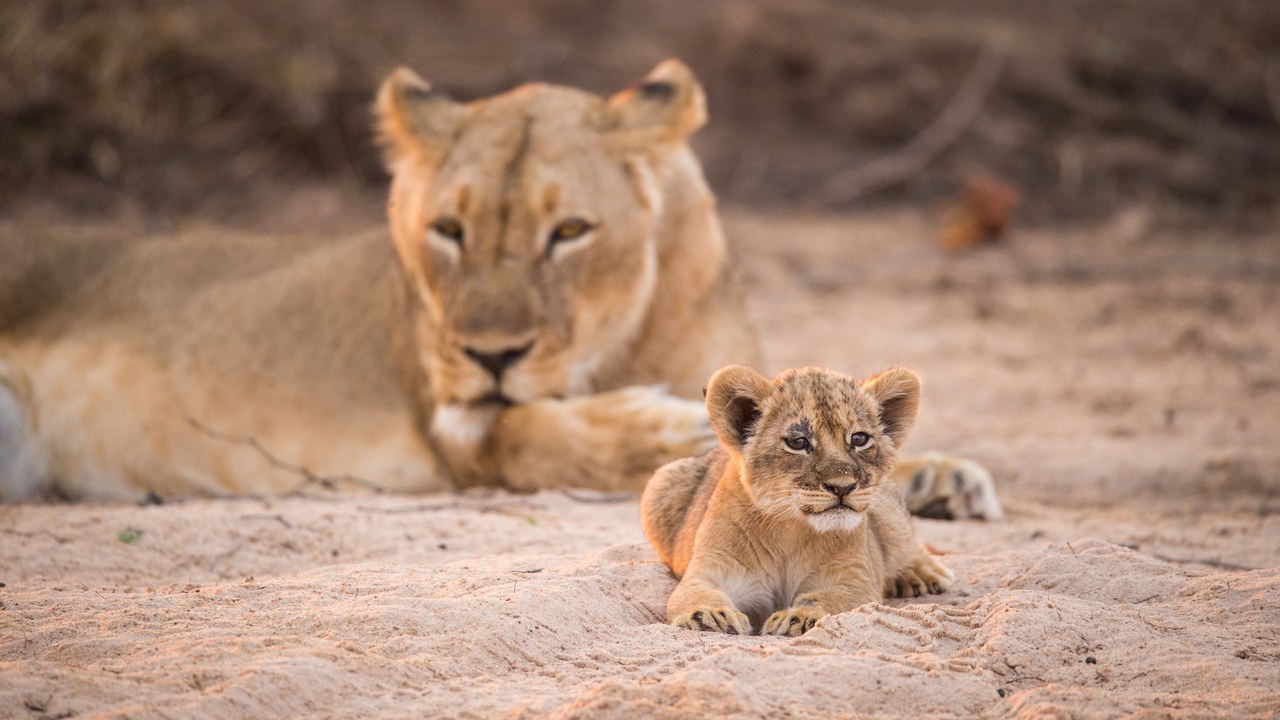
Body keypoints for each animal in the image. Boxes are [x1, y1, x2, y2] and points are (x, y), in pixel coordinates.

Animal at [0, 59, 1001, 514]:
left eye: (569, 233)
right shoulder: (451, 430)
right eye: (449, 230)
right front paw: (662, 428)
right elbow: (539, 438)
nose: (489, 355)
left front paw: (937, 476)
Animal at [640, 364, 954, 636]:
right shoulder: (711, 568)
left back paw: (922, 575)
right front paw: (709, 616)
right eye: (798, 442)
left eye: (859, 439)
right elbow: (696, 592)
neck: (788, 531)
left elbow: (828, 600)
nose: (843, 487)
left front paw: (798, 618)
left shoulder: (855, 579)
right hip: (662, 481)